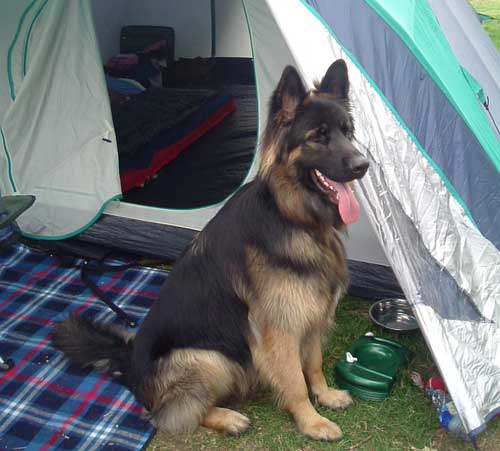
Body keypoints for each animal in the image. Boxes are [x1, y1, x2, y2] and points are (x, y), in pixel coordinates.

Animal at [53, 59, 368, 442]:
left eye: (346, 132)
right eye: (318, 136)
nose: (363, 165)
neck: (293, 217)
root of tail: (129, 364)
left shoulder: (310, 314)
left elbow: (314, 363)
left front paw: (325, 396)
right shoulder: (279, 328)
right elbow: (295, 381)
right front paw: (311, 421)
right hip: (210, 358)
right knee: (171, 414)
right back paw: (228, 418)